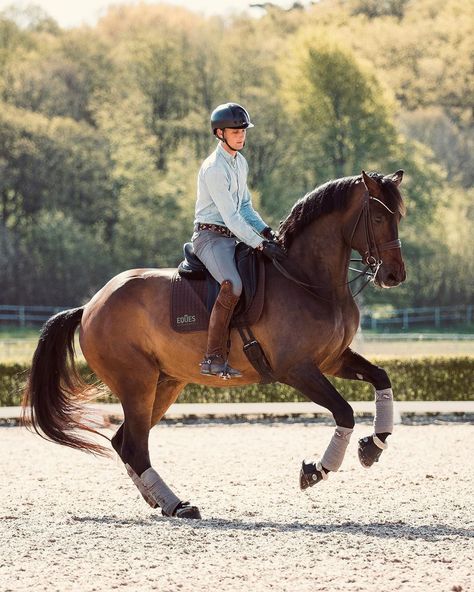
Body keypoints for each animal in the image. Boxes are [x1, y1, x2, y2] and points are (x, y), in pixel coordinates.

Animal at [23, 170, 408, 520]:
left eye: (399, 217)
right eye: (377, 217)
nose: (394, 275)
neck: (307, 279)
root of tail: (90, 306)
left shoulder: (332, 360)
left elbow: (381, 377)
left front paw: (373, 446)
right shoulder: (297, 370)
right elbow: (344, 411)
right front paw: (316, 470)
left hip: (165, 383)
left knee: (125, 441)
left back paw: (159, 501)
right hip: (137, 384)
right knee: (134, 445)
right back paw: (178, 505)